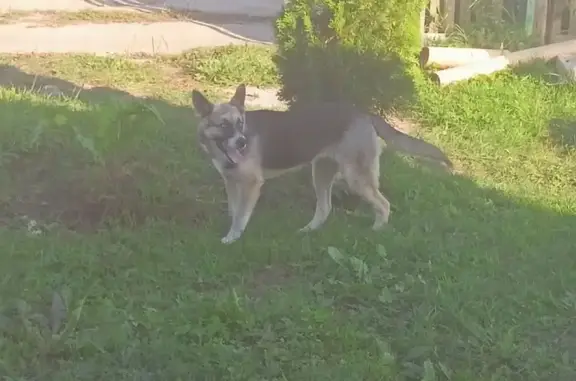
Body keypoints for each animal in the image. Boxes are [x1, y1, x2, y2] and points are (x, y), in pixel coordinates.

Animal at [191, 83, 452, 243]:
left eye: (240, 123)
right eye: (224, 125)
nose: (243, 142)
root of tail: (363, 114)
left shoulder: (251, 185)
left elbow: (240, 215)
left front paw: (232, 238)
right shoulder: (232, 183)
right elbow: (234, 211)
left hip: (356, 178)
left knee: (383, 204)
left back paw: (377, 231)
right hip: (321, 174)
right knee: (325, 208)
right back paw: (309, 231)